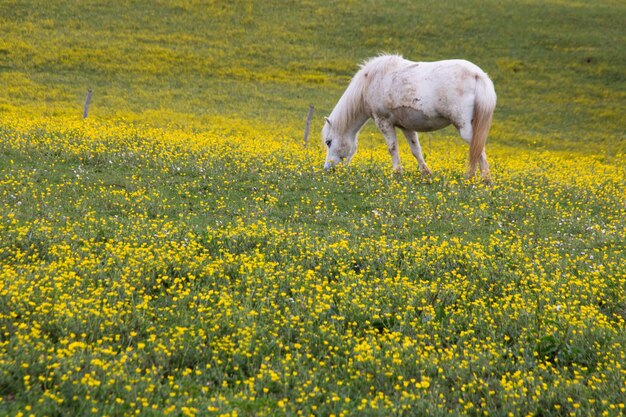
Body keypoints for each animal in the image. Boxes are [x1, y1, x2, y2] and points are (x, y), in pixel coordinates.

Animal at [320, 54, 494, 178]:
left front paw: (396, 173)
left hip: (464, 127)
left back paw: (482, 179)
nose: (327, 169)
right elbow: (416, 149)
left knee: (477, 147)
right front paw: (426, 173)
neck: (371, 81)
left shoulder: (384, 122)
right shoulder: (406, 126)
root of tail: (478, 75)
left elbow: (392, 148)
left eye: (329, 142)